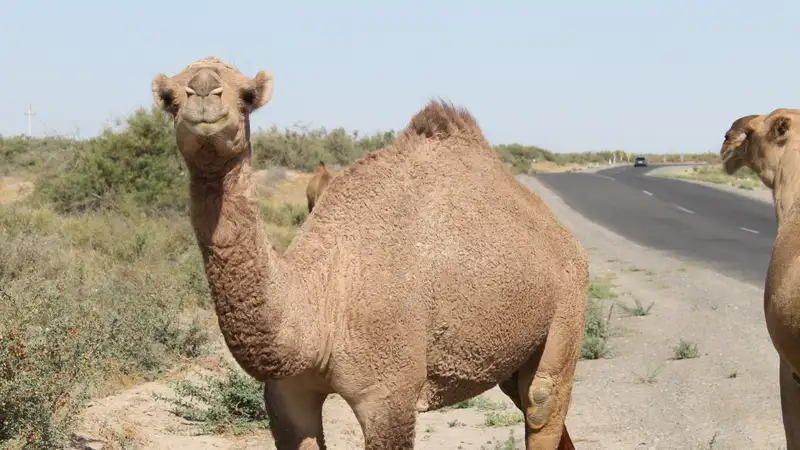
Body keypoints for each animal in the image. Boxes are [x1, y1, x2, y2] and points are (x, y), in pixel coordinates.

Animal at [150, 57, 588, 450]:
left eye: (247, 96)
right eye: (170, 98)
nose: (203, 91)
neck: (322, 302)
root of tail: (564, 236)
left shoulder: (389, 395)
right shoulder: (286, 395)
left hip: (568, 305)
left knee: (541, 403)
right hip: (512, 353)